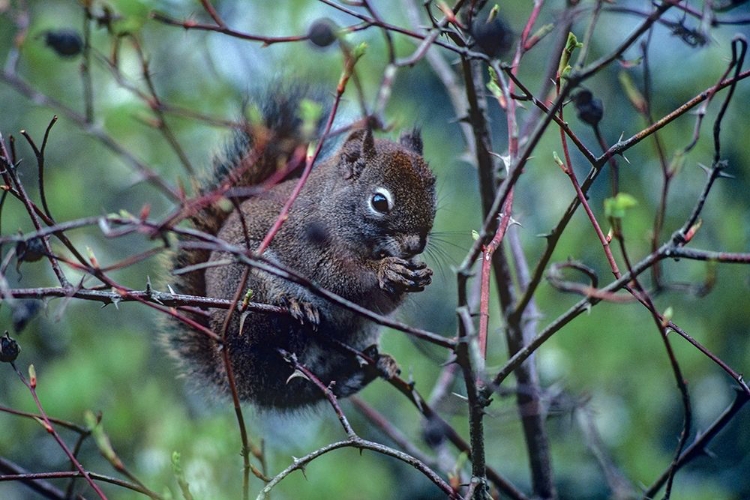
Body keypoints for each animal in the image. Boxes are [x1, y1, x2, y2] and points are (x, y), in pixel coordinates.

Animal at [162, 89, 438, 410]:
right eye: (379, 202)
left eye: (433, 193)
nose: (415, 245)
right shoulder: (303, 242)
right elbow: (336, 276)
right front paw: (387, 270)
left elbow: (380, 303)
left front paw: (416, 274)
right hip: (246, 289)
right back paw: (295, 306)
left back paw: (375, 364)